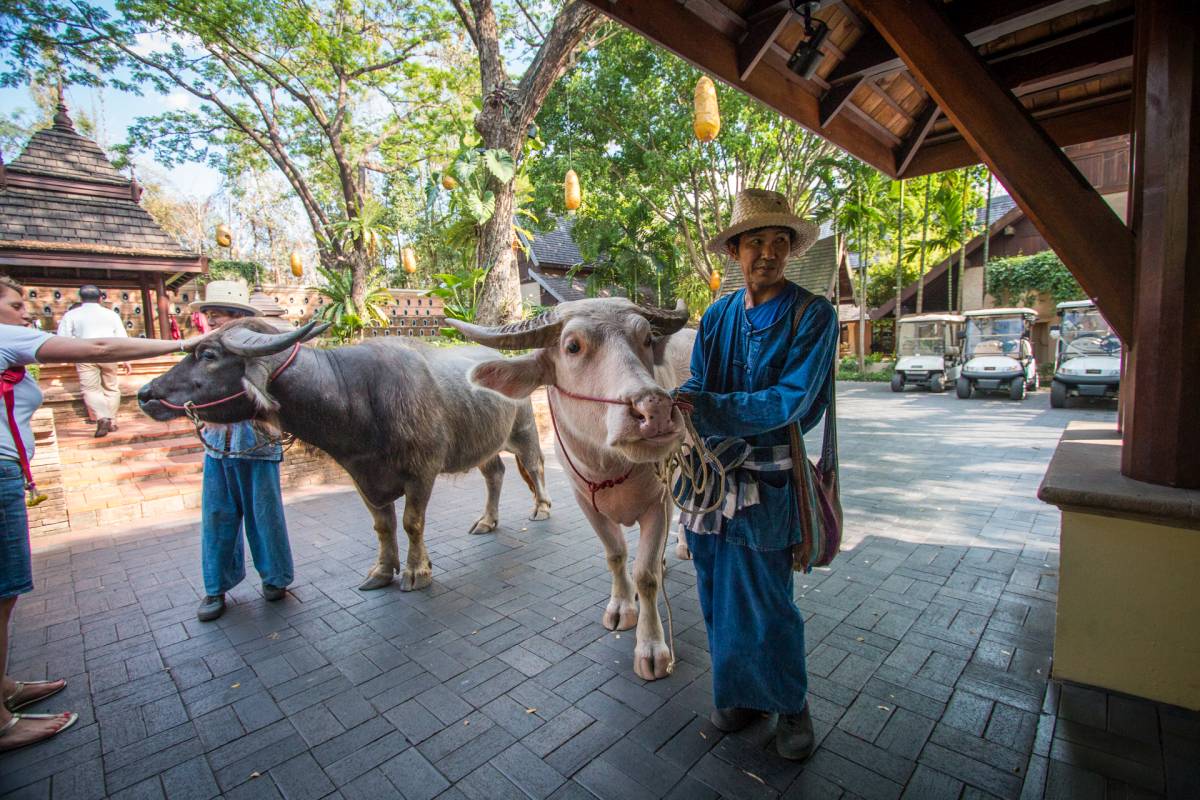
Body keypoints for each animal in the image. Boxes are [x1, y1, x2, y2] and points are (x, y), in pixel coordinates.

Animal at [137, 321, 552, 592]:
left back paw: (542, 508)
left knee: (534, 466)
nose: (146, 393)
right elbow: (383, 526)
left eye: (208, 354)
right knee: (494, 473)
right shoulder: (361, 476)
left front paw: (416, 572)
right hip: (484, 442)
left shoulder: (422, 471)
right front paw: (382, 571)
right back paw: (487, 521)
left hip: (522, 430)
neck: (357, 396)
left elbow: (412, 522)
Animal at [451, 299, 696, 681]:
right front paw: (621, 606)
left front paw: (652, 647)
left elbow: (645, 575)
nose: (654, 409)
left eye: (645, 338)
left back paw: (682, 546)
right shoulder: (586, 504)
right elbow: (616, 555)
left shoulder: (658, 502)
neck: (608, 464)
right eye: (572, 347)